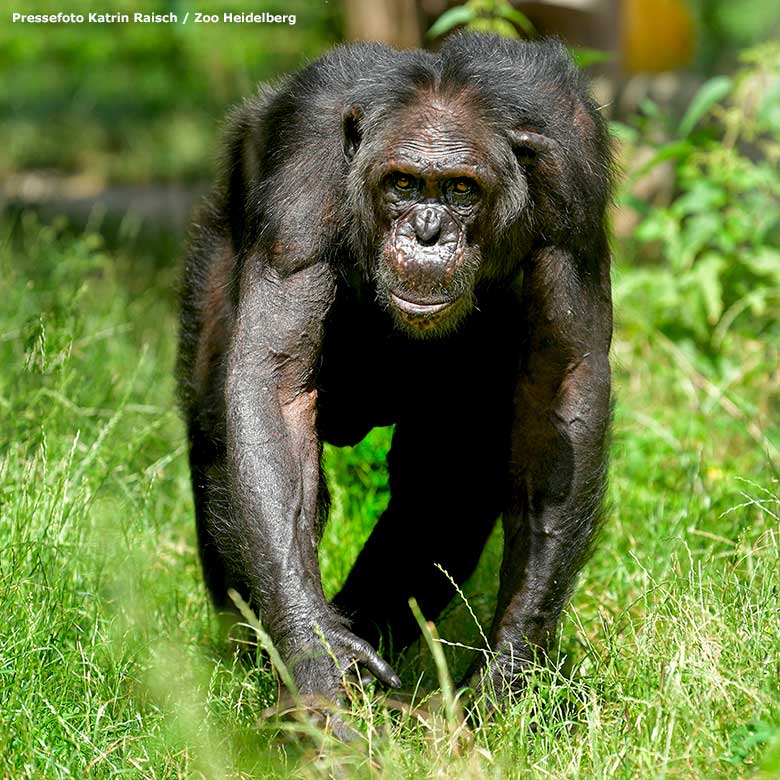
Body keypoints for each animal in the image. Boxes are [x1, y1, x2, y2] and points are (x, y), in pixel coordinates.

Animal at [177, 30, 616, 712]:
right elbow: (274, 383)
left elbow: (564, 381)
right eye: (404, 185)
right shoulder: (304, 160)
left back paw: (371, 637)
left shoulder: (574, 160)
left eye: (460, 191)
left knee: (447, 477)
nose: (428, 233)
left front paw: (512, 662)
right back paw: (262, 652)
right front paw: (317, 659)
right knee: (217, 432)